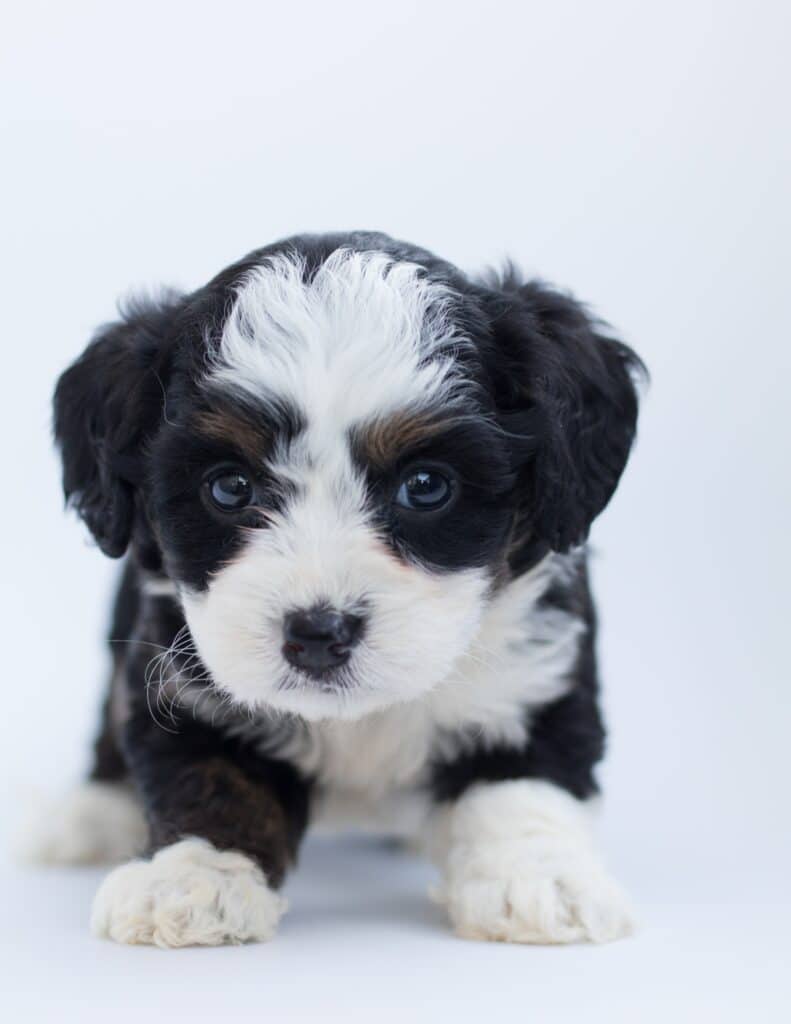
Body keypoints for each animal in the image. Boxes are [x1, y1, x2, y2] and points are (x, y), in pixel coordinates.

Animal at [35, 230, 643, 942]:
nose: (318, 634)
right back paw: (91, 814)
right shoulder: (180, 674)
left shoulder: (535, 665)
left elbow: (523, 777)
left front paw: (537, 878)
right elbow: (210, 774)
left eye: (426, 485)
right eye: (229, 487)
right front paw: (193, 876)